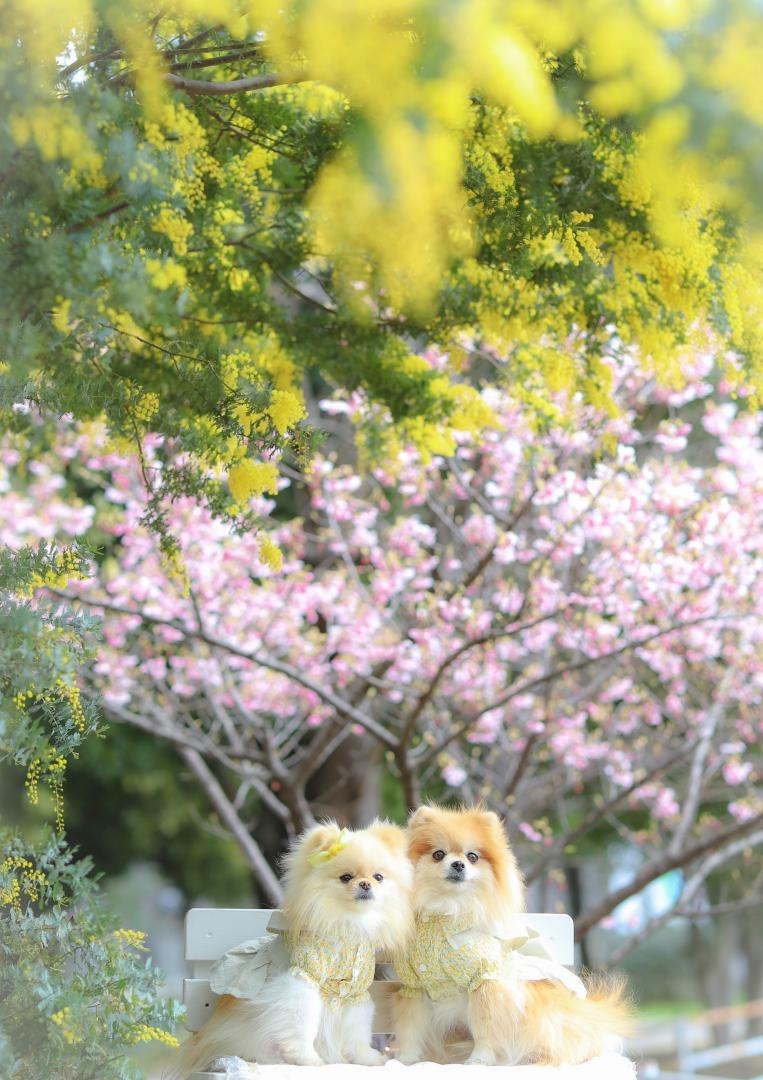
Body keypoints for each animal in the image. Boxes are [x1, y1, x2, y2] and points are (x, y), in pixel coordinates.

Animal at [167, 820, 410, 1075]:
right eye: (345, 877)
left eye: (378, 877)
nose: (365, 883)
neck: (346, 923)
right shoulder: (302, 982)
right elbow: (302, 1025)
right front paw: (306, 1059)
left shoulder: (355, 991)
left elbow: (357, 1029)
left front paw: (366, 1058)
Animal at [389, 807, 626, 1067]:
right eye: (438, 854)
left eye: (472, 857)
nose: (459, 864)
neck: (444, 911)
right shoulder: (415, 987)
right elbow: (410, 1027)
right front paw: (407, 1058)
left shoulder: (485, 981)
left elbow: (485, 1027)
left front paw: (479, 1059)